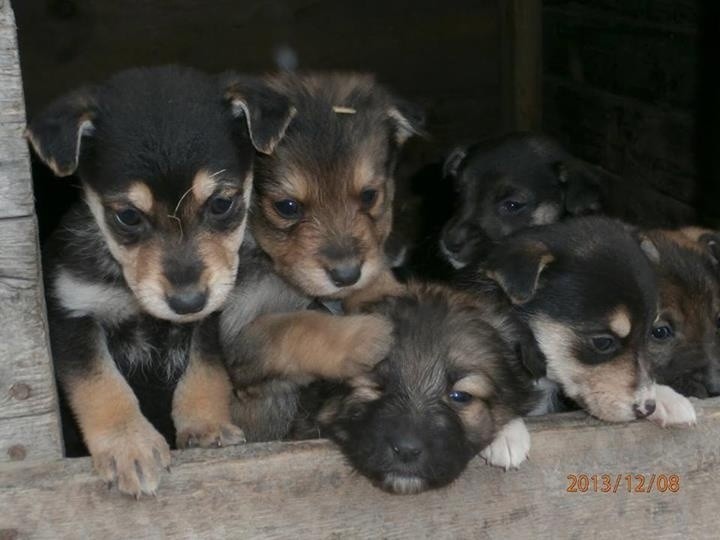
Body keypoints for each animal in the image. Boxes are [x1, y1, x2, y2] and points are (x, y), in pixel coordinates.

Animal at [26, 65, 294, 496]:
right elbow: (101, 383)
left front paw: (205, 424)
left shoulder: (211, 316)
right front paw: (129, 445)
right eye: (128, 216)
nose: (187, 302)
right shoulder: (73, 314)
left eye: (222, 203)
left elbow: (205, 370)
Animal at [219, 73, 422, 438]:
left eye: (369, 196)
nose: (347, 275)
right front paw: (365, 336)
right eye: (287, 207)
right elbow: (294, 326)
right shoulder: (236, 334)